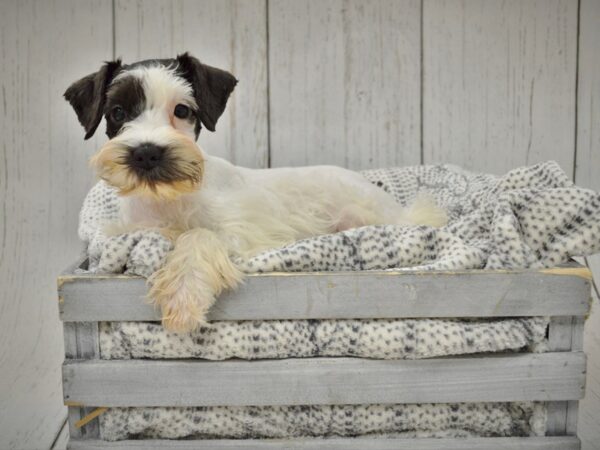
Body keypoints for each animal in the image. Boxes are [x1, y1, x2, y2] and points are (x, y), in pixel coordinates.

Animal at [67, 53, 450, 334]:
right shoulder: (130, 228)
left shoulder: (242, 232)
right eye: (117, 112)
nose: (147, 152)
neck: (169, 198)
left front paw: (183, 296)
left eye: (182, 110)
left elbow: (198, 237)